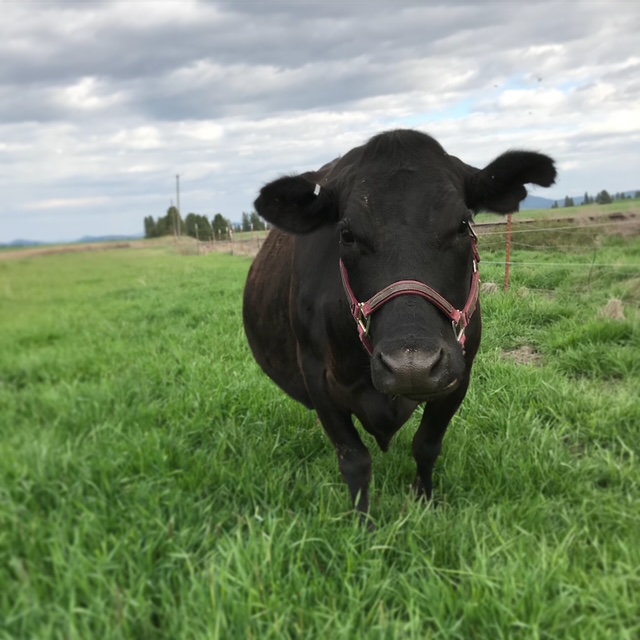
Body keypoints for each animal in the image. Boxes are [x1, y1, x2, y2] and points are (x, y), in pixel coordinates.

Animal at [243, 129, 556, 518]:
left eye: (463, 225)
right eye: (346, 234)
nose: (412, 366)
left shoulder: (460, 373)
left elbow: (426, 445)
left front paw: (424, 502)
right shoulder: (316, 375)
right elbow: (354, 459)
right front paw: (363, 524)